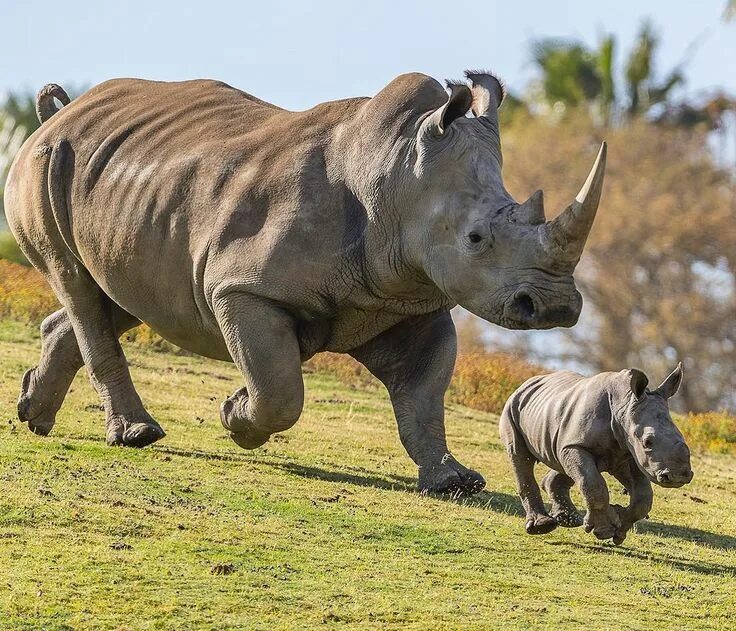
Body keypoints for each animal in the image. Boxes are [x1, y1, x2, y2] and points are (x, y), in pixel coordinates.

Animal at [4, 71, 604, 496]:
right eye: (476, 238)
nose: (554, 306)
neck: (396, 175)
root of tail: (59, 115)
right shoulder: (243, 288)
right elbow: (280, 390)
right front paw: (235, 417)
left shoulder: (409, 300)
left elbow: (424, 396)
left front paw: (455, 482)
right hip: (43, 164)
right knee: (76, 284)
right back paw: (137, 435)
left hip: (129, 187)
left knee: (122, 293)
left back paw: (34, 415)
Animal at [498, 362, 692, 544]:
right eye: (647, 442)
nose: (678, 476)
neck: (624, 405)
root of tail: (528, 382)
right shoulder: (579, 445)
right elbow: (592, 484)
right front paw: (604, 530)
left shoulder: (628, 452)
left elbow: (643, 497)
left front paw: (619, 529)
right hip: (513, 407)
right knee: (520, 456)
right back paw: (542, 526)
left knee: (564, 462)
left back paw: (569, 520)